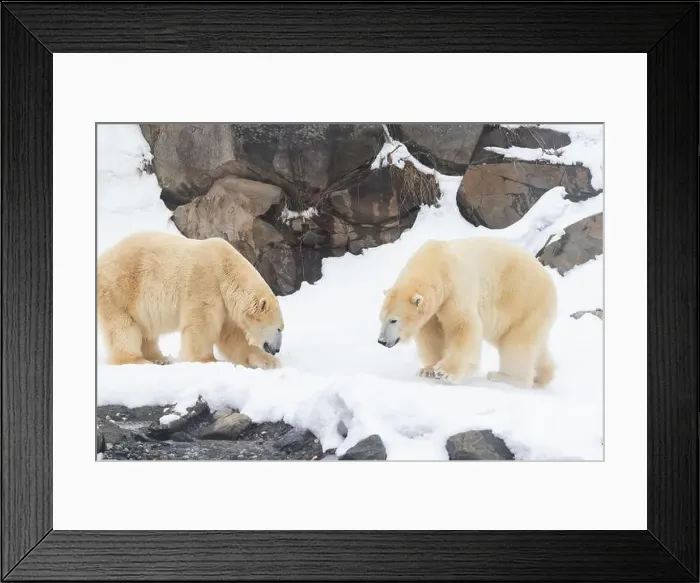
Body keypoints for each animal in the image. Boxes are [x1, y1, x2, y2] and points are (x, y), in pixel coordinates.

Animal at [97, 231, 284, 370]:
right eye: (278, 329)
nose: (276, 350)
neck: (225, 268)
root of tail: (101, 260)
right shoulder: (205, 283)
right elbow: (201, 326)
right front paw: (207, 360)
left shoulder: (226, 305)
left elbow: (233, 337)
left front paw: (269, 362)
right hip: (121, 289)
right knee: (123, 328)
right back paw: (138, 360)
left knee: (146, 329)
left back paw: (159, 358)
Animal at [377, 237, 558, 388]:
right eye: (381, 319)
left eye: (393, 320)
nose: (382, 341)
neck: (435, 262)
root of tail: (550, 281)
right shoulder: (434, 309)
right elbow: (430, 334)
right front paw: (427, 370)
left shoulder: (455, 288)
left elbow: (462, 325)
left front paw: (445, 372)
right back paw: (542, 377)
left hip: (522, 300)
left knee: (516, 344)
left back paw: (503, 376)